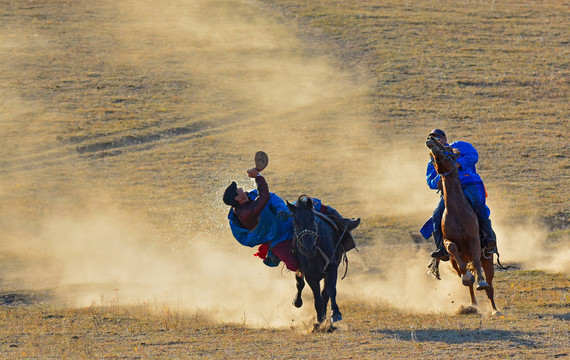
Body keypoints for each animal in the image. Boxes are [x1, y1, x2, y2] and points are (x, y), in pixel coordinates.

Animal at [286, 195, 340, 324]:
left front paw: (335, 313)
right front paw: (319, 320)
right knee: (300, 284)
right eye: (295, 222)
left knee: (325, 292)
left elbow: (331, 290)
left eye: (312, 219)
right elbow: (317, 297)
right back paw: (297, 302)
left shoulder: (332, 267)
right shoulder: (309, 275)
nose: (308, 248)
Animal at [424, 136, 494, 314]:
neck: (457, 211)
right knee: (467, 279)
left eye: (449, 150)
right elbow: (452, 248)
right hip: (454, 263)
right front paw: (467, 277)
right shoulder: (448, 242)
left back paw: (494, 309)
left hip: (488, 260)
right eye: (431, 158)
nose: (431, 139)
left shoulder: (475, 240)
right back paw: (473, 302)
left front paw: (481, 281)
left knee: (490, 285)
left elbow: (476, 262)